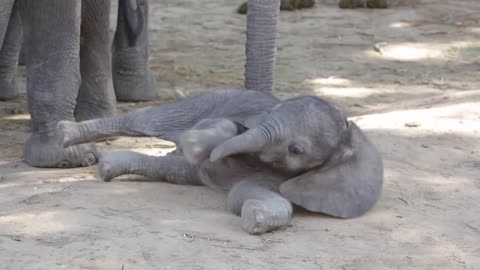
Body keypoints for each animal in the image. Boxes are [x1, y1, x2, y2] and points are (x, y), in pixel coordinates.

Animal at [58, 90, 384, 234]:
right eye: (270, 113)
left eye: (295, 149)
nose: (213, 157)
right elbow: (224, 126)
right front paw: (196, 143)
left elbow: (241, 193)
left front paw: (255, 218)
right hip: (209, 98)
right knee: (147, 120)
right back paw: (66, 133)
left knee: (176, 170)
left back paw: (108, 167)